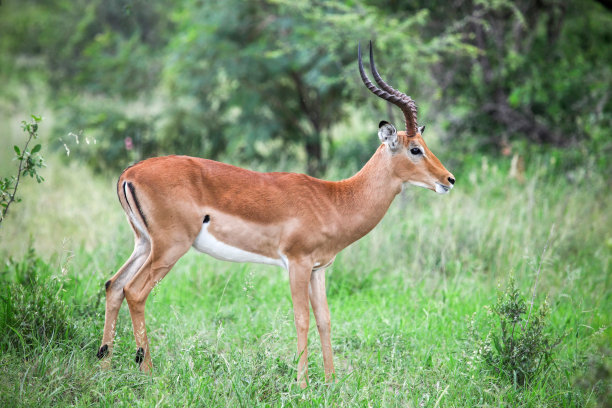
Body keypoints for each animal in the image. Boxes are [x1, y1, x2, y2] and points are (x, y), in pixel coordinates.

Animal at [97, 42, 454, 388]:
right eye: (415, 149)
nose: (449, 179)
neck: (336, 199)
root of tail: (129, 173)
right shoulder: (296, 263)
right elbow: (301, 319)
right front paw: (302, 385)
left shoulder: (319, 269)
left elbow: (325, 319)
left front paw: (331, 382)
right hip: (169, 247)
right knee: (135, 292)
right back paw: (147, 372)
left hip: (144, 243)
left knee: (114, 285)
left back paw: (104, 367)